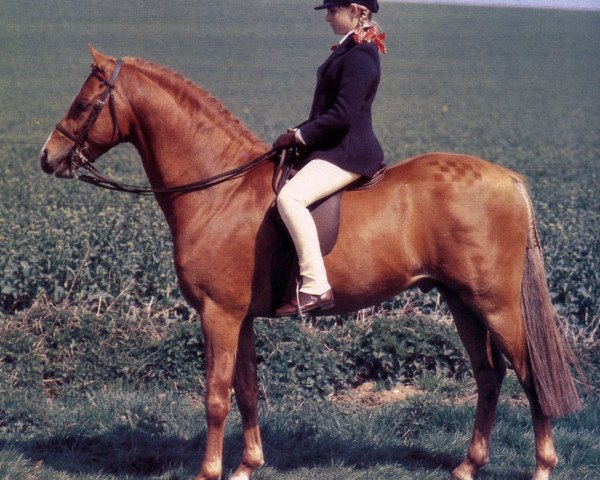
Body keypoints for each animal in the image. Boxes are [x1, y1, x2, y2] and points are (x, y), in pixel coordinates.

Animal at [38, 47, 580, 480]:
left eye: (83, 104)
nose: (48, 157)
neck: (219, 190)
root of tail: (508, 179)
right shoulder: (240, 318)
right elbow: (247, 390)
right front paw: (247, 466)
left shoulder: (218, 314)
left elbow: (216, 396)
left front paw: (210, 472)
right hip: (462, 302)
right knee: (489, 376)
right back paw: (468, 465)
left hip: (496, 305)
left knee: (530, 375)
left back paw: (542, 467)